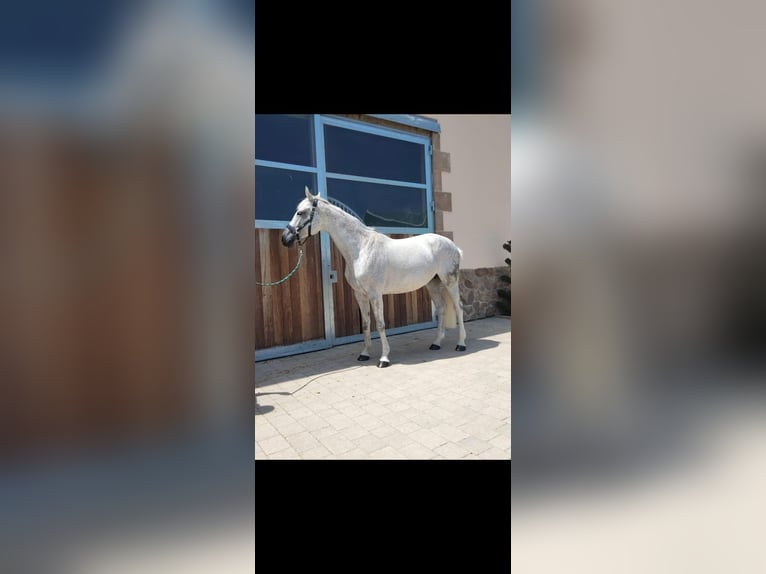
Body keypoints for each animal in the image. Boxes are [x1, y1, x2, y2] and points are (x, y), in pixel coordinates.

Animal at [281, 186, 466, 368]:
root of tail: (454, 246)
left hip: (450, 282)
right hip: (432, 283)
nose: (285, 239)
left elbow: (380, 324)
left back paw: (461, 344)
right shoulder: (360, 294)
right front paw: (364, 354)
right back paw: (436, 343)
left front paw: (384, 358)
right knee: (441, 308)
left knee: (458, 308)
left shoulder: (375, 294)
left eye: (300, 212)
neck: (361, 248)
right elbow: (365, 324)